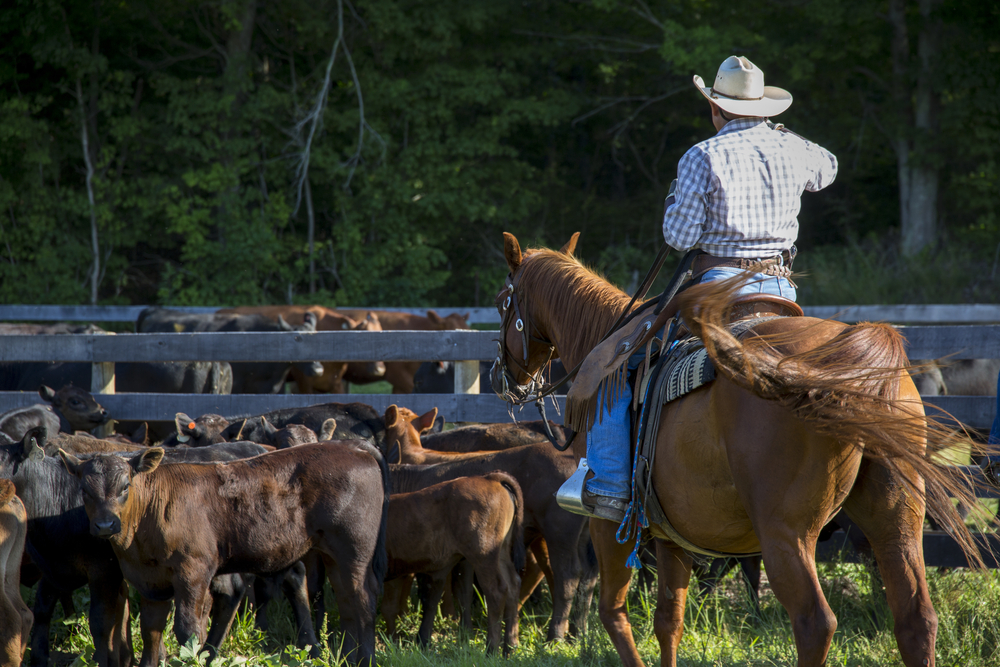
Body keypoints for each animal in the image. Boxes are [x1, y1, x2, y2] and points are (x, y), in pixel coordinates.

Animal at [58, 442, 389, 667]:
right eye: (84, 490)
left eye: (126, 486)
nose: (105, 524)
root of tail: (353, 446)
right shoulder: (150, 581)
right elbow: (151, 629)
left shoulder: (193, 571)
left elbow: (188, 630)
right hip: (334, 553)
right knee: (346, 600)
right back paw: (348, 656)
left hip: (355, 551)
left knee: (362, 599)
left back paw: (366, 659)